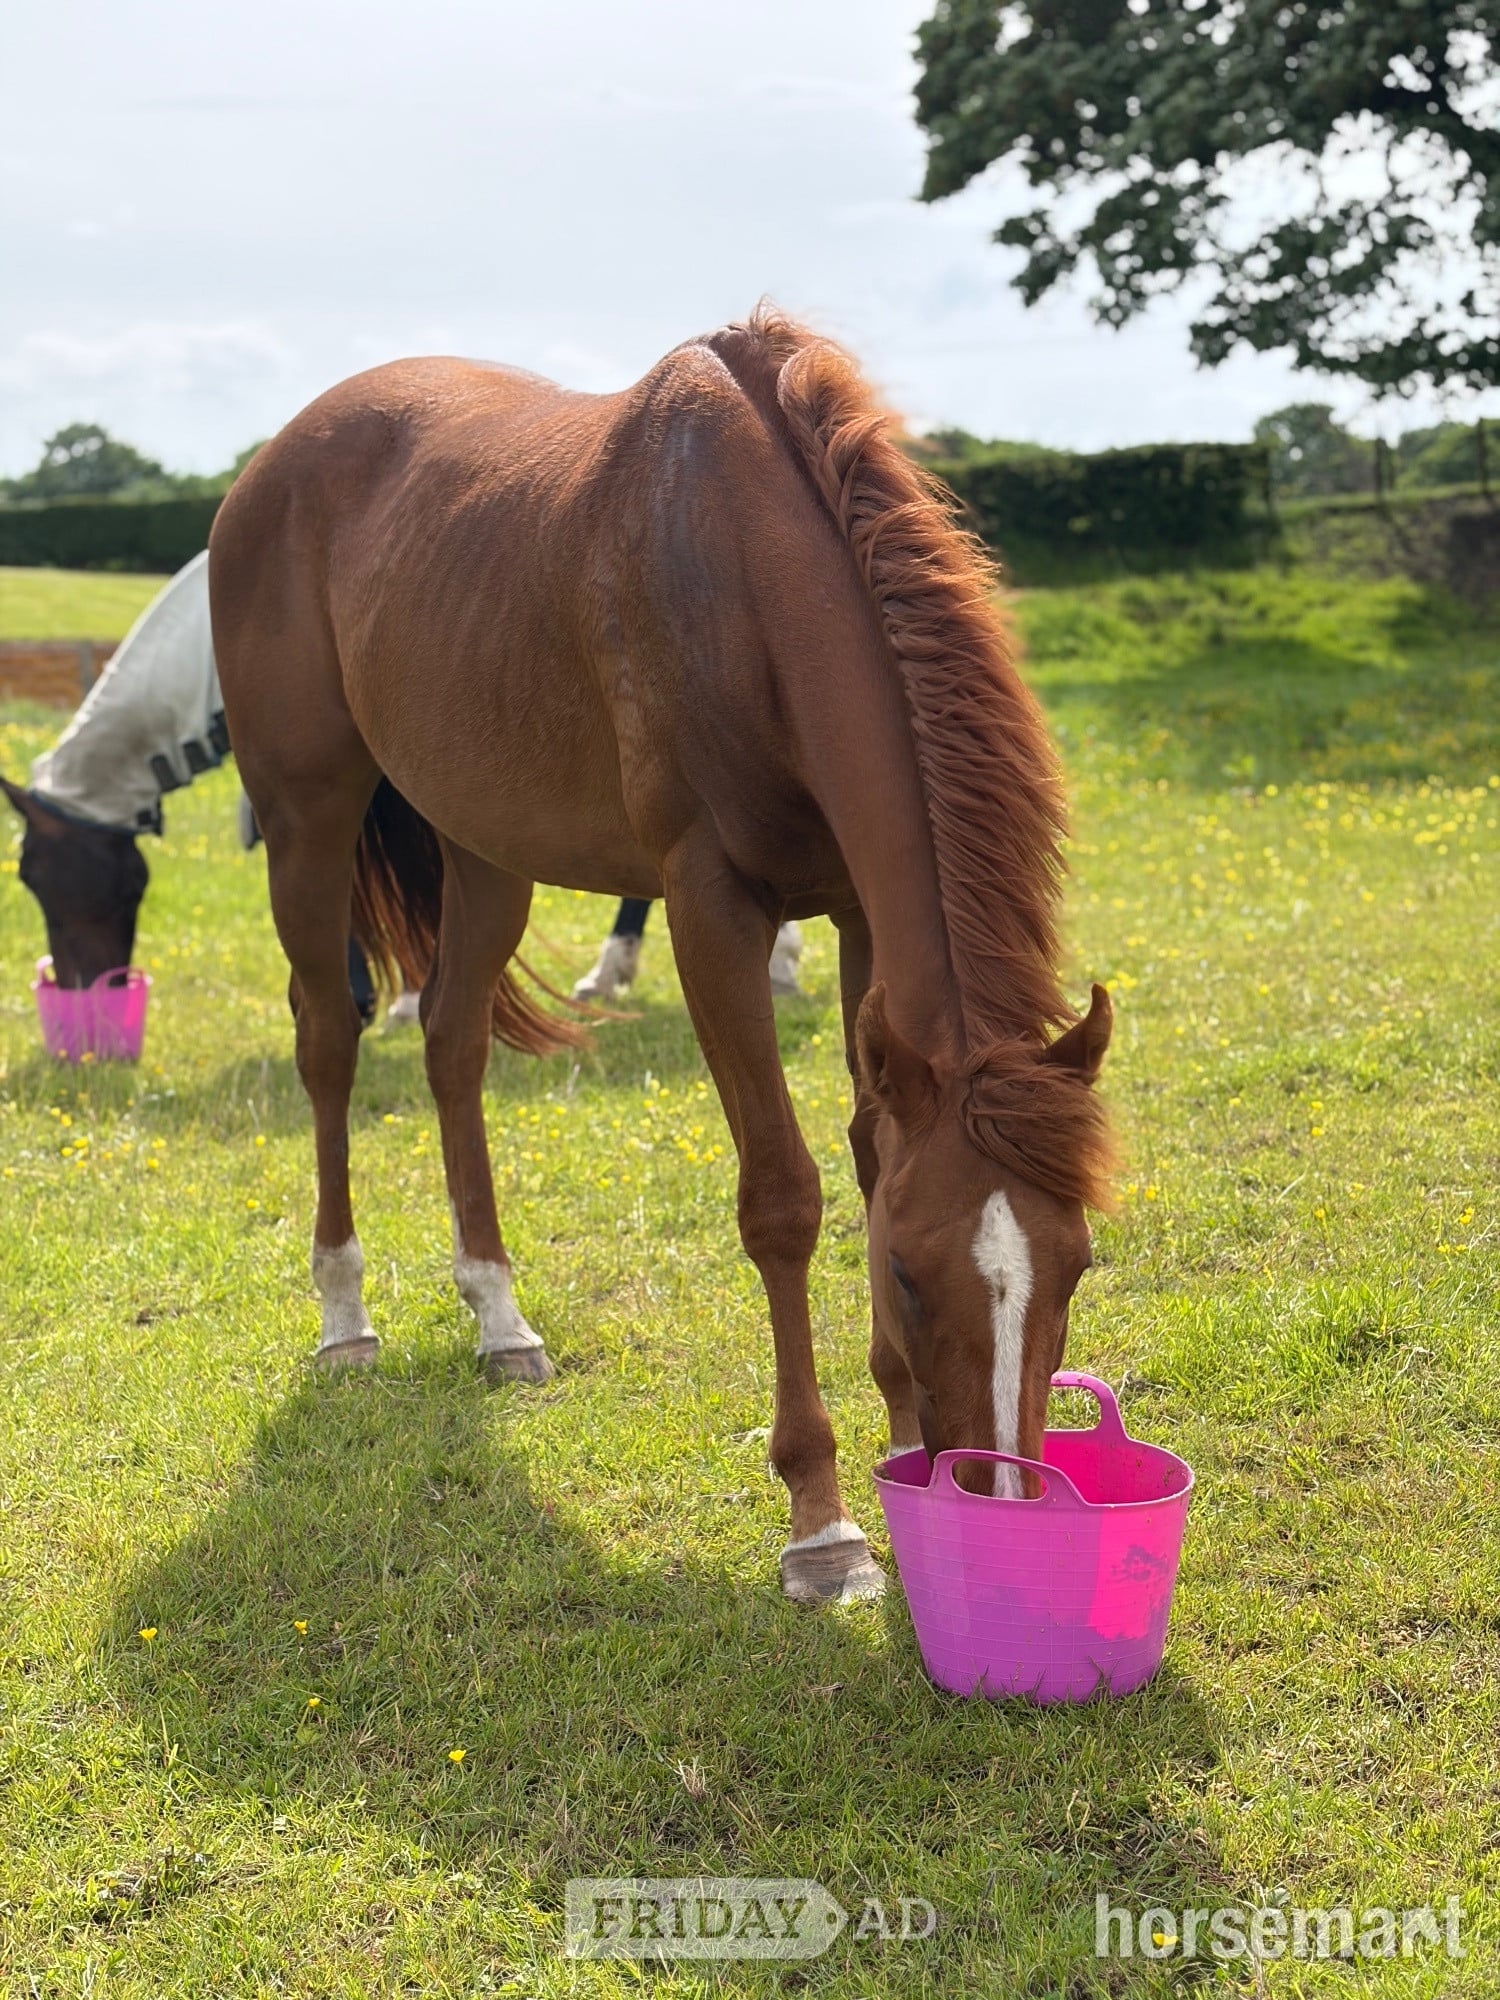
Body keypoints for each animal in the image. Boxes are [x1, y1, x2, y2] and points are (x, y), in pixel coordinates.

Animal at [209, 304, 1115, 1606]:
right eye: (907, 1273)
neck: (747, 573)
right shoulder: (708, 908)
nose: (995, 1500)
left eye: (1078, 1264)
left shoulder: (857, 917)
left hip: (486, 849)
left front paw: (897, 1452)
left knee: (451, 1044)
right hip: (307, 817)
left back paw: (499, 1317)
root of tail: (272, 464)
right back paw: (345, 1315)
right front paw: (824, 1523)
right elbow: (783, 1197)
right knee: (329, 1040)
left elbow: (864, 1156)